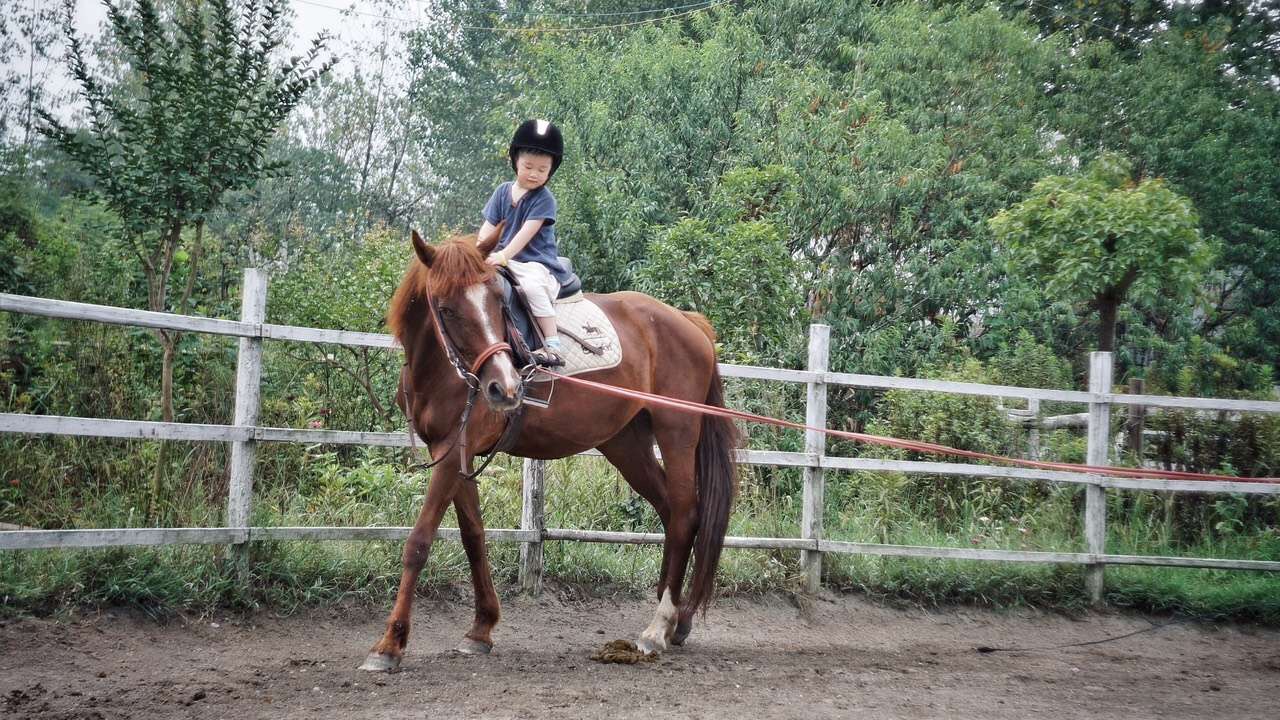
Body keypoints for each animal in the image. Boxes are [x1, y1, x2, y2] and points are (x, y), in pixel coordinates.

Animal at [359, 229, 739, 672]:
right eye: (446, 309)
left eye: (498, 302)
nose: (503, 388)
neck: (440, 370)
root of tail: (688, 323)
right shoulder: (458, 454)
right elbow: (474, 537)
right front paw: (481, 630)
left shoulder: (451, 455)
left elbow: (419, 542)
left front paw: (389, 645)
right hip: (626, 444)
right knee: (669, 512)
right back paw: (676, 617)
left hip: (677, 432)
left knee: (684, 515)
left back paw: (658, 626)